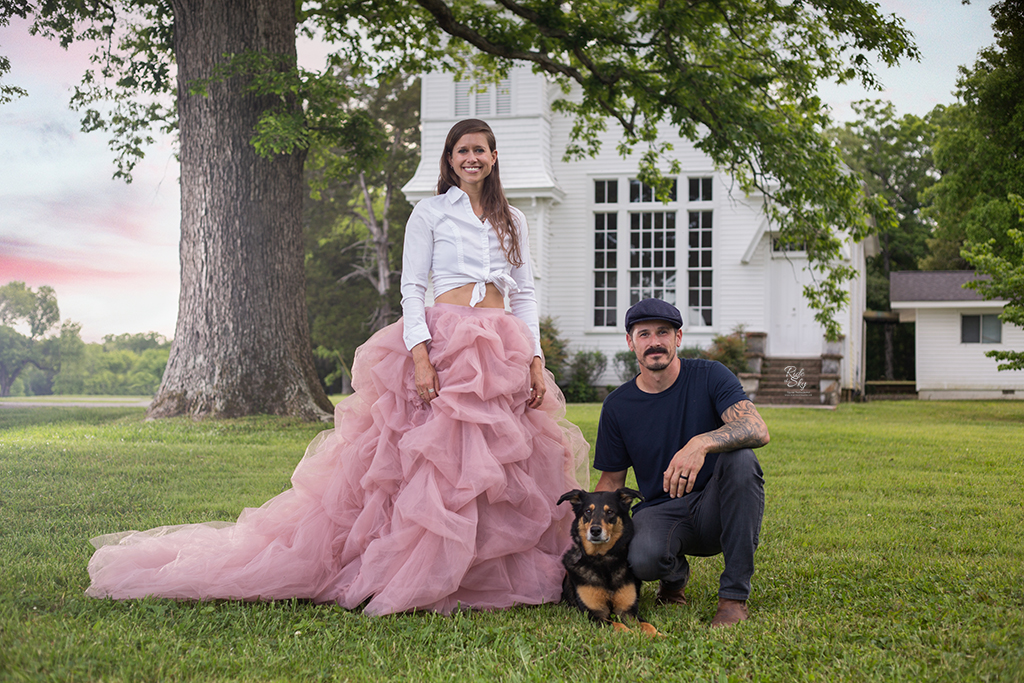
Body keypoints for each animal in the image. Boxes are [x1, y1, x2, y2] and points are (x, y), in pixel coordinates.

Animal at [557, 485, 659, 634]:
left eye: (610, 512)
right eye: (588, 511)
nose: (595, 530)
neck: (602, 559)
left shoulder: (628, 611)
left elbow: (647, 625)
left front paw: (659, 635)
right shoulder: (595, 614)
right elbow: (620, 626)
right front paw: (632, 634)